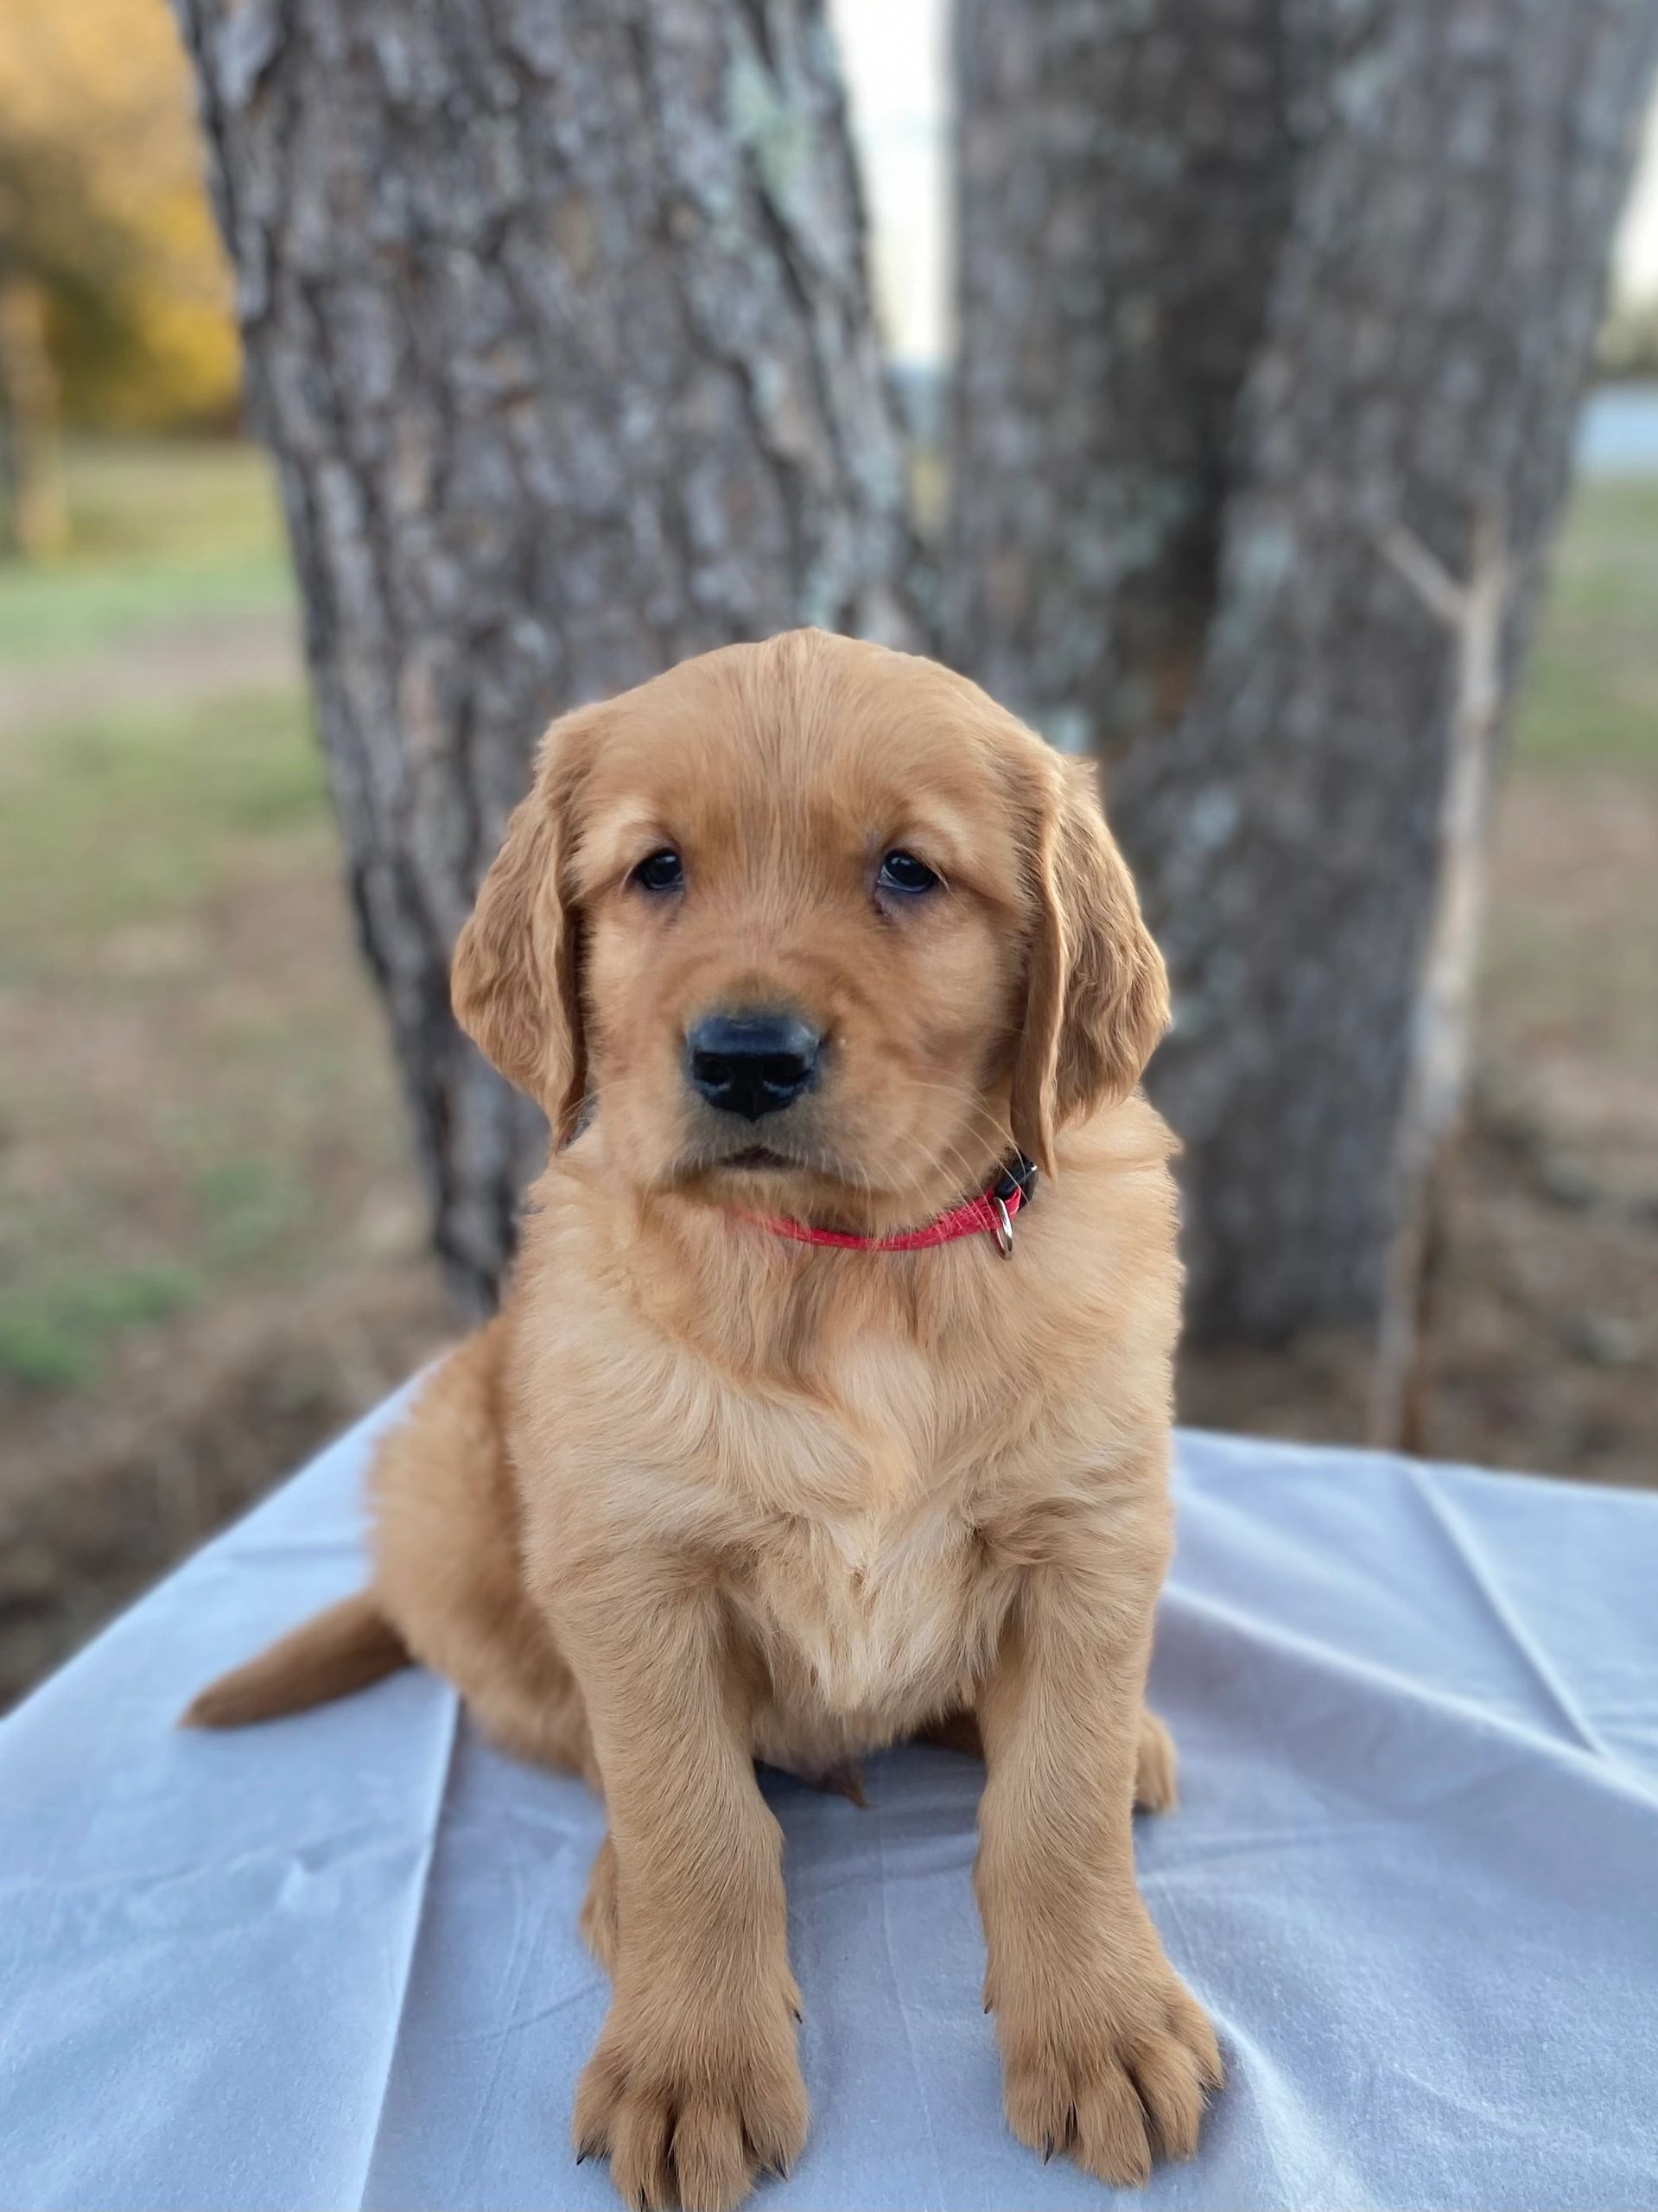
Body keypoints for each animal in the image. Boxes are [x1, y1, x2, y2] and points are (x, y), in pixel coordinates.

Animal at [191, 632, 1220, 2212]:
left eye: (908, 871)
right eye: (654, 870)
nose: (744, 1057)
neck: (846, 1275)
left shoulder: (1089, 1536)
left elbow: (1054, 1807)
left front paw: (1100, 2024)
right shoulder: (634, 1570)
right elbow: (694, 1821)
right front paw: (690, 2067)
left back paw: (1124, 1745)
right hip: (441, 1484)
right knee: (570, 1736)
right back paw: (617, 1882)